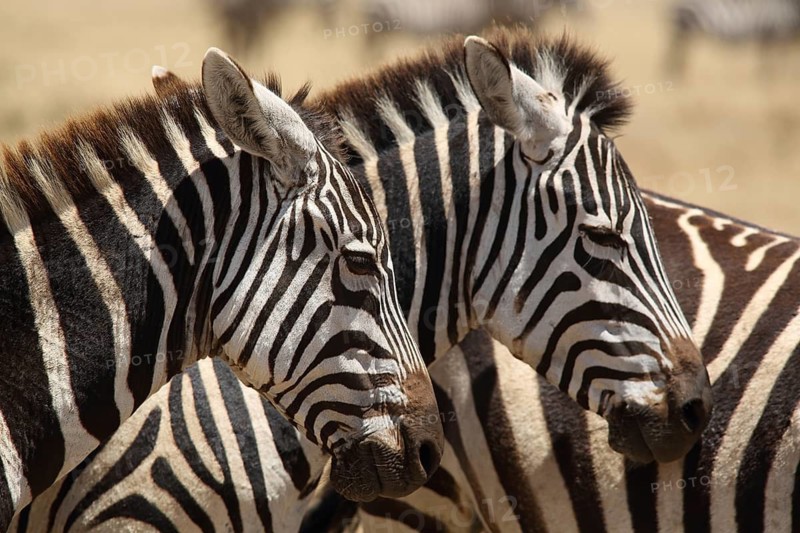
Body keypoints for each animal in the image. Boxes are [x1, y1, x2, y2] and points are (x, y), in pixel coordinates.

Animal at [667, 0, 800, 74]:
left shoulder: (769, 35)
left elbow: (771, 56)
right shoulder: (774, 31)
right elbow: (773, 57)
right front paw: (768, 75)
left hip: (687, 28)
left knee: (680, 47)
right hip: (686, 24)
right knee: (676, 47)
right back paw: (674, 71)